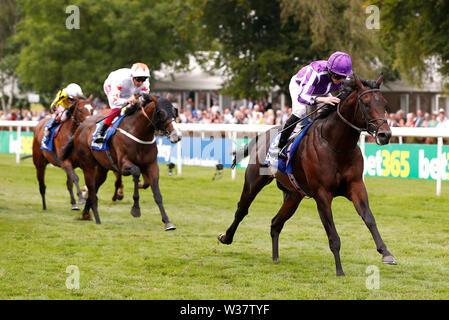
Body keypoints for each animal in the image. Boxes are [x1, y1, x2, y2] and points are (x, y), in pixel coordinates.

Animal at [62, 93, 181, 230]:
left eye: (175, 111)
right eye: (161, 112)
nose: (177, 135)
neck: (139, 132)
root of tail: (80, 127)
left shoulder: (151, 165)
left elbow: (156, 193)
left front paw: (167, 222)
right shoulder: (123, 165)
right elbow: (136, 171)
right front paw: (135, 209)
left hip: (102, 169)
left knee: (95, 188)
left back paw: (86, 214)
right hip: (88, 166)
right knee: (91, 189)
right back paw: (94, 216)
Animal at [219, 74, 398, 276]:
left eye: (385, 104)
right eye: (366, 104)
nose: (385, 134)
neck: (336, 145)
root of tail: (263, 134)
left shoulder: (356, 186)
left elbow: (369, 218)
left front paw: (386, 253)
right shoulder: (322, 194)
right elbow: (333, 235)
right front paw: (339, 270)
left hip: (293, 195)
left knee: (275, 223)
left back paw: (275, 257)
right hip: (254, 181)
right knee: (242, 209)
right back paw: (226, 237)